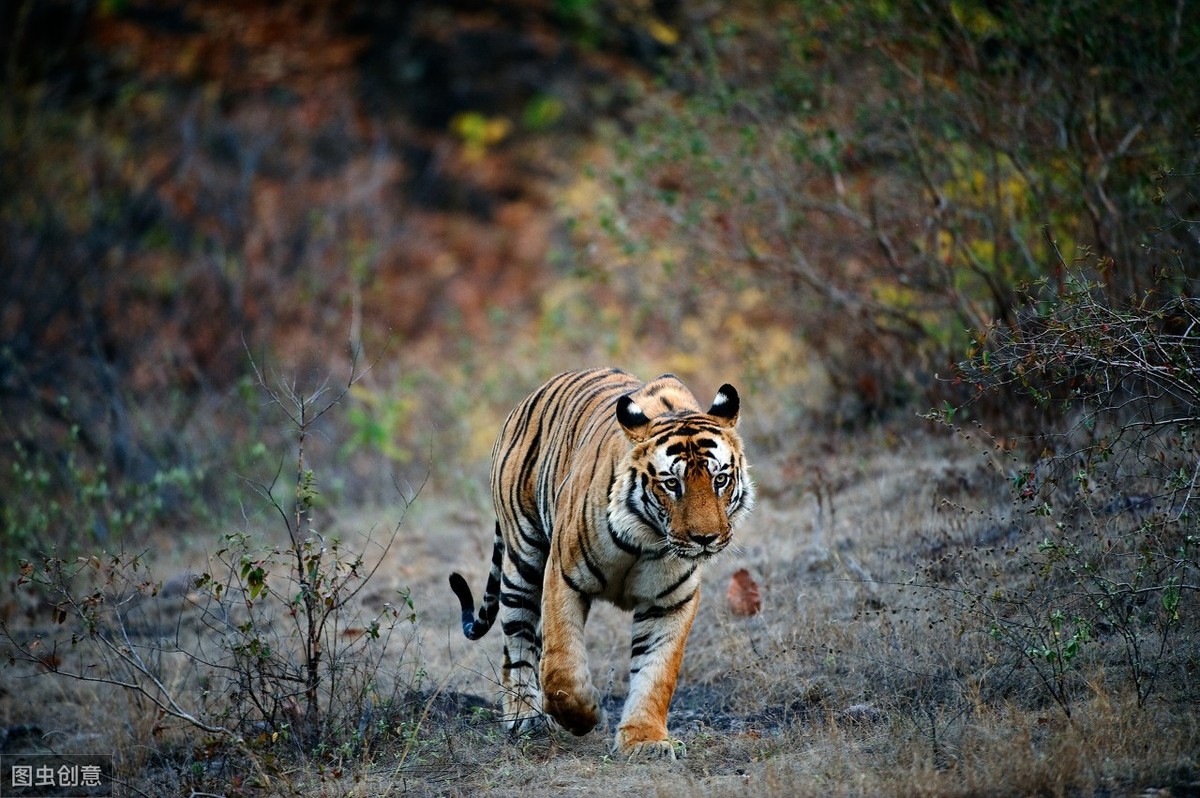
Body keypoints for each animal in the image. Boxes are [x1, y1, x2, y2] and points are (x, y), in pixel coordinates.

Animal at [451, 367, 748, 758]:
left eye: (720, 479)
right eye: (671, 483)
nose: (706, 538)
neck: (647, 539)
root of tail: (530, 396)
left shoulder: (670, 601)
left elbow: (657, 672)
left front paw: (645, 741)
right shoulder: (562, 577)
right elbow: (561, 668)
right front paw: (583, 715)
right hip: (523, 560)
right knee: (517, 641)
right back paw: (523, 717)